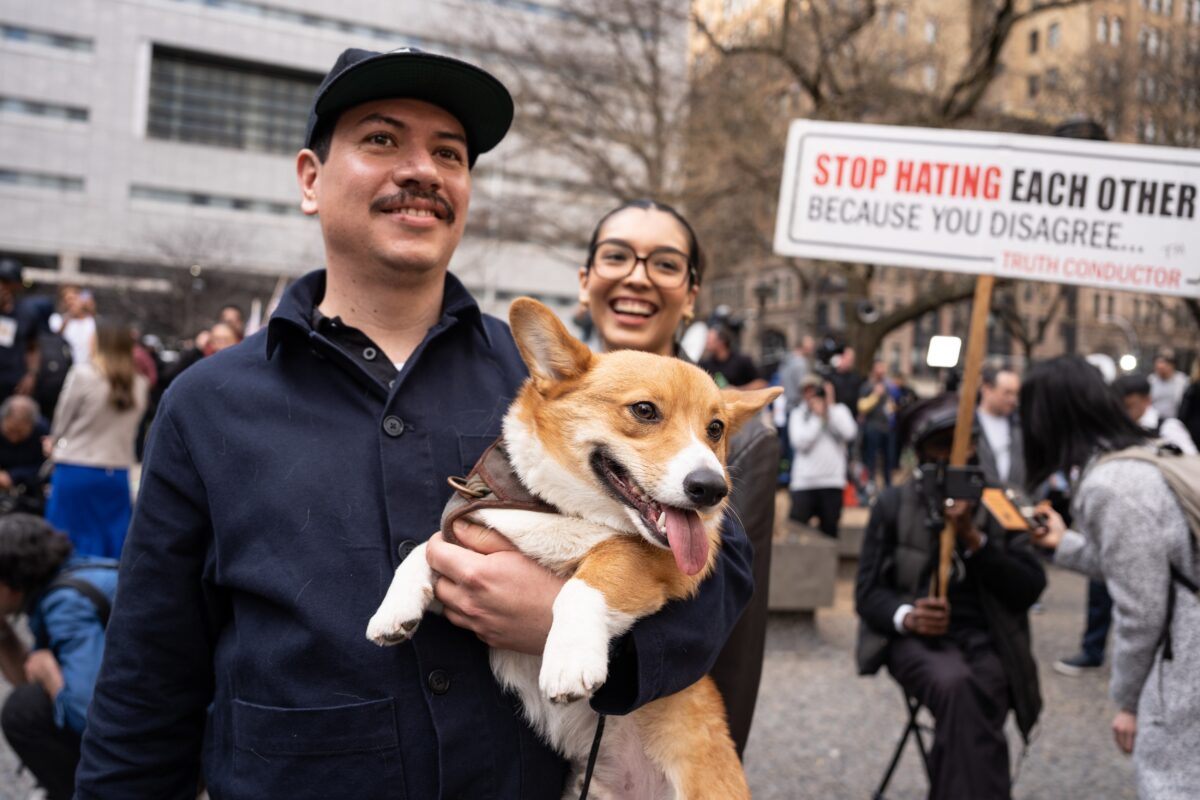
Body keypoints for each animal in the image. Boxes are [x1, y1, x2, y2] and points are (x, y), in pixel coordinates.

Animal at [364, 299, 777, 800]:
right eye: (644, 410)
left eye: (715, 428)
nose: (712, 489)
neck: (568, 512)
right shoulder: (466, 546)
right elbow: (427, 546)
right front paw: (393, 610)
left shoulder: (667, 564)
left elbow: (591, 577)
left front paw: (569, 659)